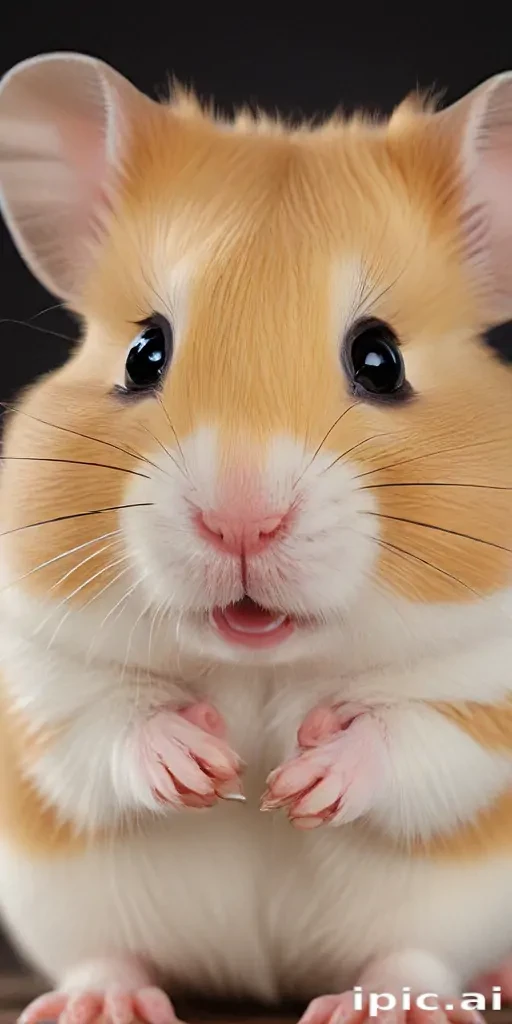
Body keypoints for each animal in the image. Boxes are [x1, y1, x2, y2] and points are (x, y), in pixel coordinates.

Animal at [0, 50, 512, 1024]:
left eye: (380, 359)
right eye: (144, 355)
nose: (240, 520)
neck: (262, 665)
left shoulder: (489, 699)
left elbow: (417, 736)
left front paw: (300, 782)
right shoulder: (34, 687)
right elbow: (105, 726)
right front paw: (205, 767)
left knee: (417, 960)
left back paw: (378, 1003)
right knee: (97, 955)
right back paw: (102, 1002)